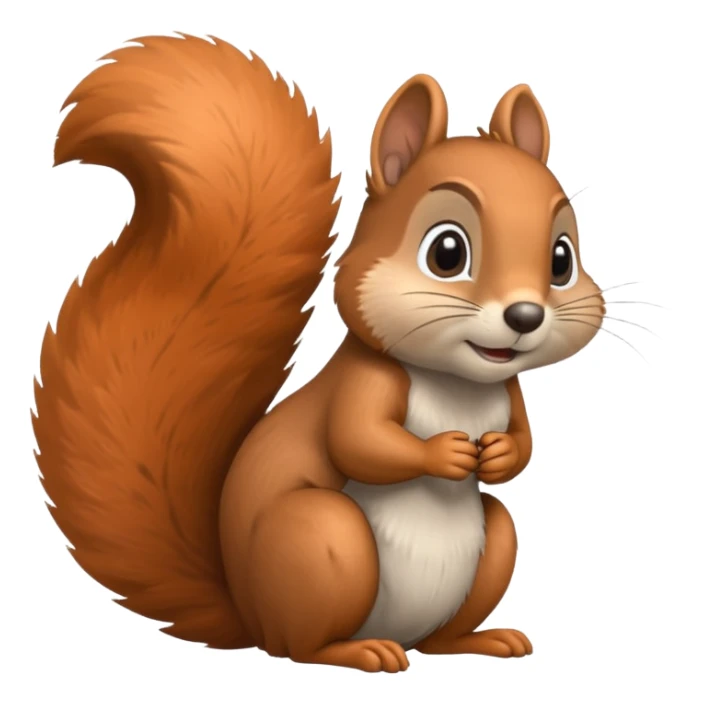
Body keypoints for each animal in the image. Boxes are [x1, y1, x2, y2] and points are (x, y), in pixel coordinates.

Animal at [32, 34, 604, 674]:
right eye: (447, 252)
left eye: (561, 259)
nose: (525, 317)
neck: (457, 382)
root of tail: (249, 615)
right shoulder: (364, 382)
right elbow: (359, 442)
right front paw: (445, 453)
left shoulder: (510, 391)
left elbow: (525, 442)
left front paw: (500, 455)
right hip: (322, 539)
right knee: (301, 648)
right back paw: (357, 651)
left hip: (490, 546)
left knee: (444, 627)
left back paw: (480, 641)